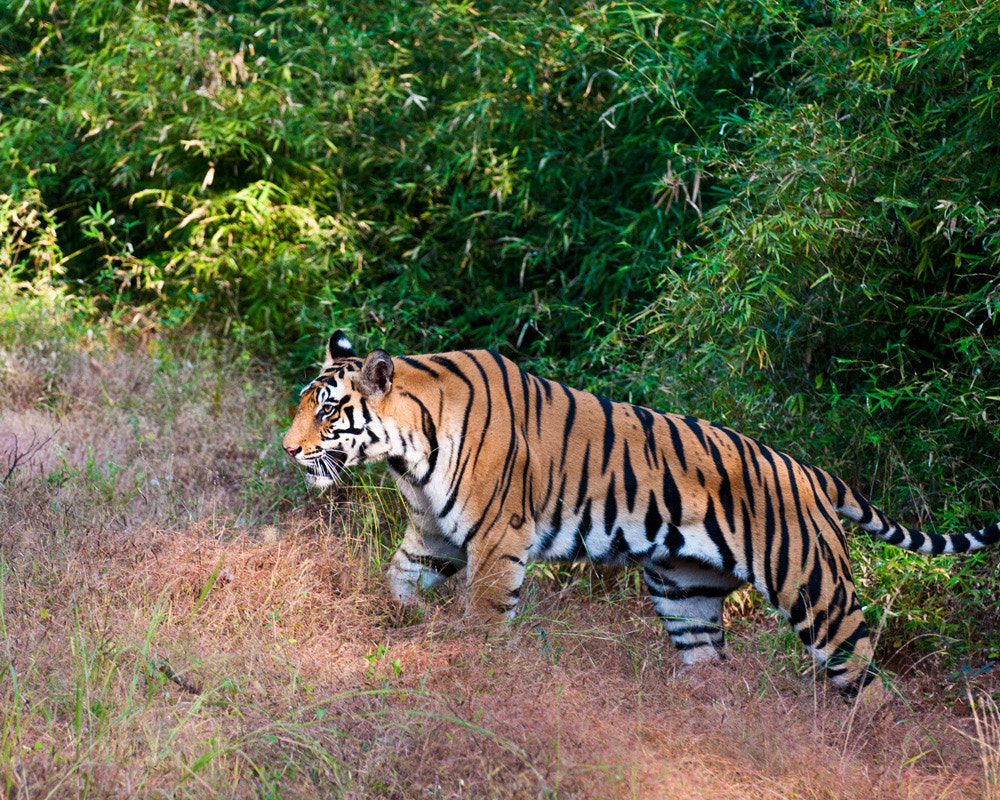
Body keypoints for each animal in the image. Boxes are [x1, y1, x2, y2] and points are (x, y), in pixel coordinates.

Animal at [280, 332, 1000, 692]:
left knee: (864, 676)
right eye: (303, 404)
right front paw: (398, 626)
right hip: (685, 594)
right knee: (713, 666)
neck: (408, 451)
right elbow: (397, 583)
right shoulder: (433, 537)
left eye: (327, 410)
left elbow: (483, 618)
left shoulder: (495, 543)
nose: (288, 449)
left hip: (815, 591)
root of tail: (811, 471)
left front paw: (470, 670)